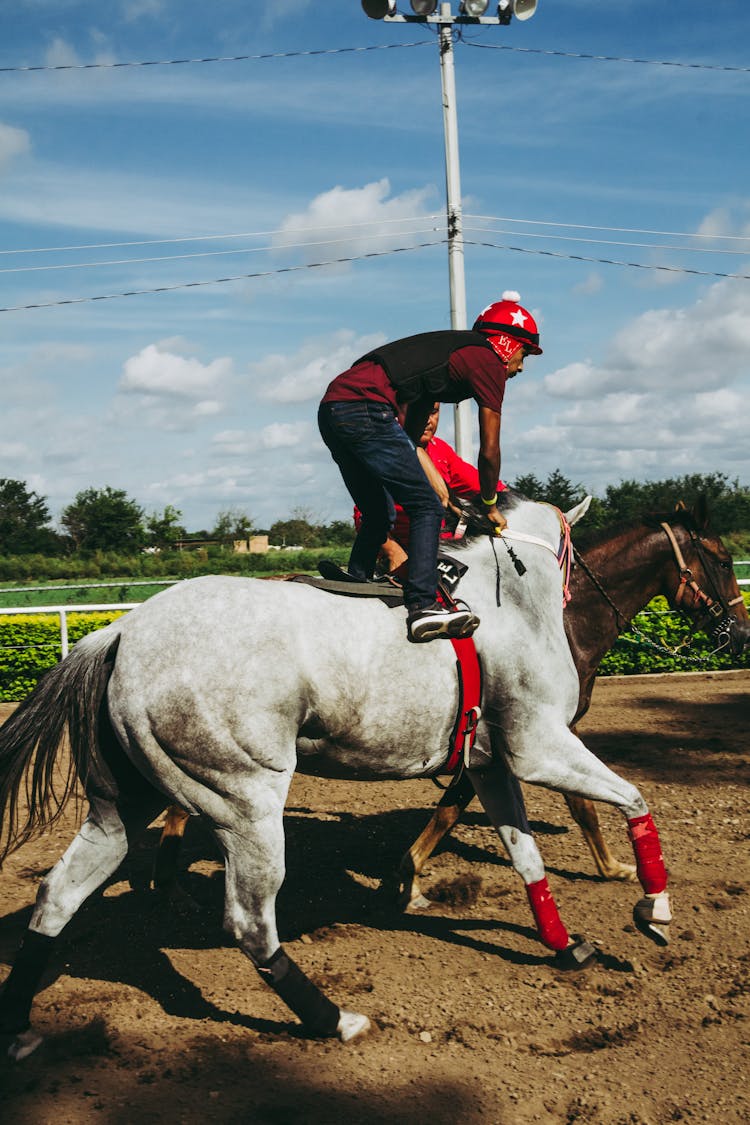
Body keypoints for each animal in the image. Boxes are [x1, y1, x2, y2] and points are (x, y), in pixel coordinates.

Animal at [1, 492, 679, 1053]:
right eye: (703, 556)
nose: (719, 618)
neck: (505, 599)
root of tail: (120, 630)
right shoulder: (539, 747)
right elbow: (633, 799)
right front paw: (653, 905)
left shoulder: (491, 765)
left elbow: (527, 857)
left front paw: (565, 945)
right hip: (245, 803)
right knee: (250, 922)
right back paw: (333, 1019)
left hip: (120, 805)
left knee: (58, 894)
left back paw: (20, 1026)